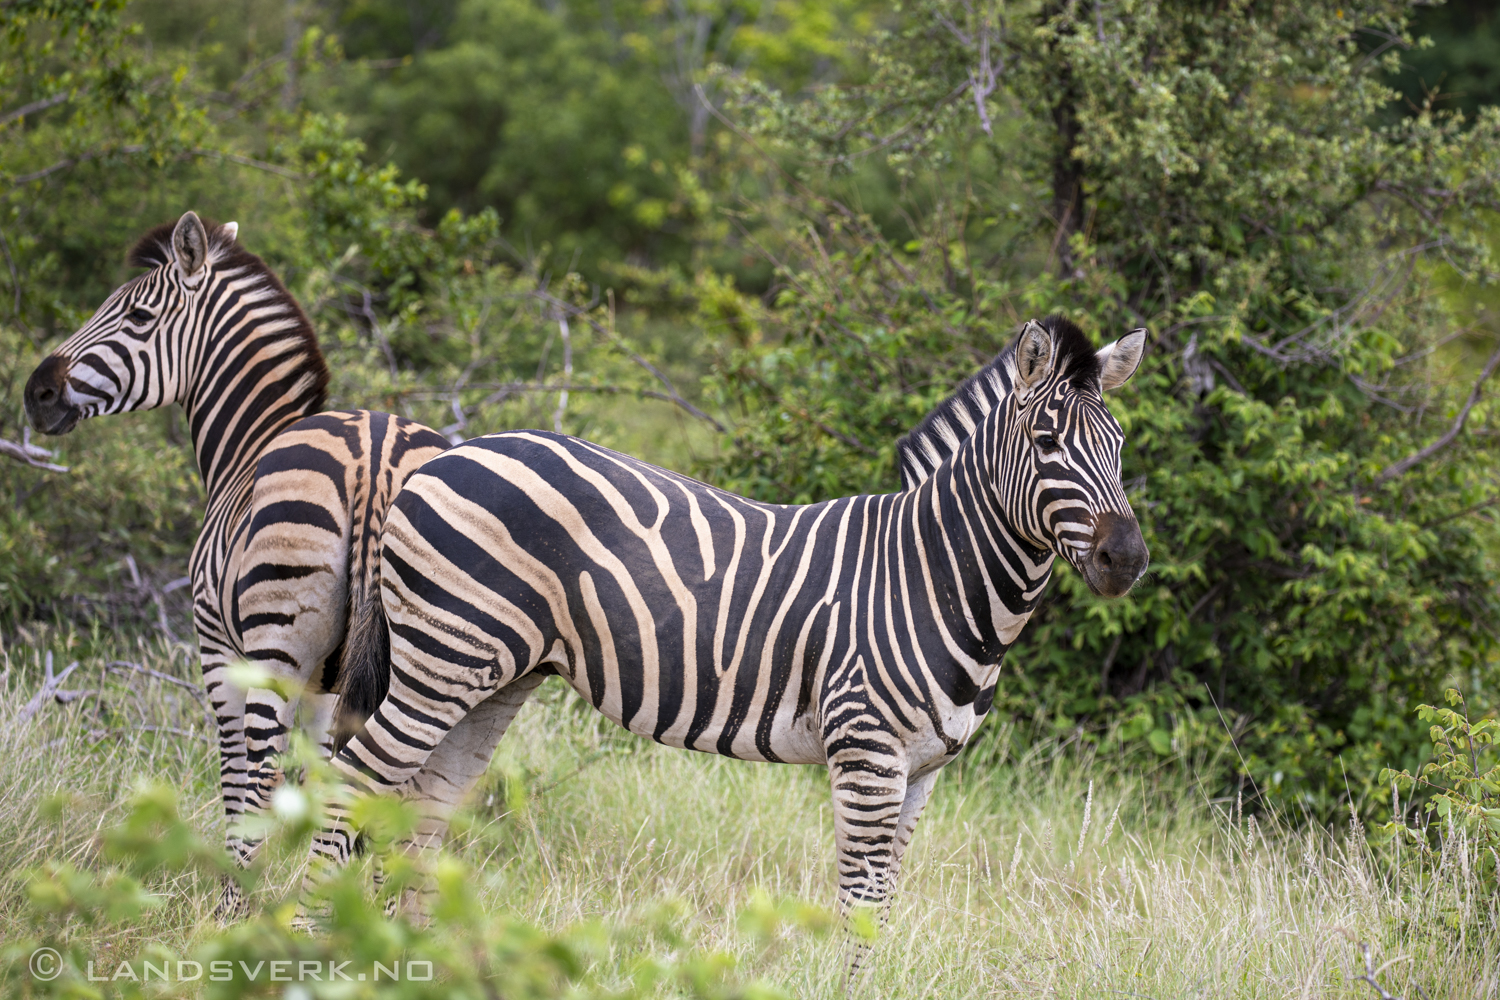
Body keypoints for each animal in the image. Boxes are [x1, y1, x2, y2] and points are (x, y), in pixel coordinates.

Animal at [23, 212, 447, 917]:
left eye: (137, 315)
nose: (37, 393)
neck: (249, 445)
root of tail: (376, 451)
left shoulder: (218, 647)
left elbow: (237, 776)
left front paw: (232, 900)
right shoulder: (328, 680)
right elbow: (322, 777)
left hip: (277, 644)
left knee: (266, 764)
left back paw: (245, 908)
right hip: (422, 653)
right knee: (403, 776)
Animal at [301, 314, 1146, 977]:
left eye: (1120, 444)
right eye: (1045, 440)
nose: (1128, 559)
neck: (932, 576)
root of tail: (443, 454)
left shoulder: (925, 771)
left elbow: (884, 902)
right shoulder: (867, 753)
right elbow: (858, 899)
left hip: (495, 674)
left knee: (424, 806)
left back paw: (421, 962)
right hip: (440, 657)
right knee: (353, 780)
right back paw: (309, 942)